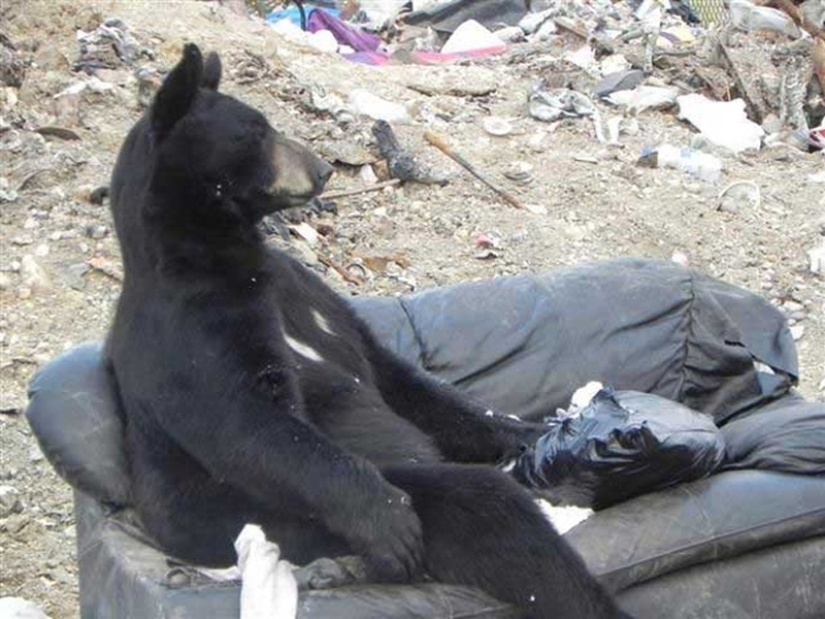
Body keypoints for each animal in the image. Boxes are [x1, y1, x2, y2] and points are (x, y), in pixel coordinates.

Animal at [105, 43, 631, 619]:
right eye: (255, 131)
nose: (321, 169)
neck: (224, 259)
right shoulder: (190, 331)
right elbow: (249, 422)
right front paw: (386, 519)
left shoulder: (307, 294)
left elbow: (392, 374)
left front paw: (537, 431)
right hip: (273, 520)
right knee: (491, 513)